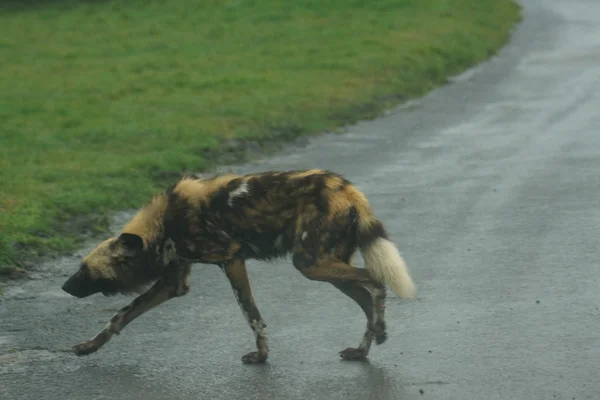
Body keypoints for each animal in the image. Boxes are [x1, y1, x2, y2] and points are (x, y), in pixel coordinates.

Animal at [62, 169, 418, 362]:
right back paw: (364, 348)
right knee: (367, 298)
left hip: (311, 264)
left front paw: (260, 357)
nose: (64, 286)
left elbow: (252, 315)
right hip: (328, 268)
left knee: (376, 282)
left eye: (85, 270)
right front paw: (89, 347)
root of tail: (347, 188)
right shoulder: (173, 282)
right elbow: (120, 316)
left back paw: (378, 333)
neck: (163, 224)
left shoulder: (230, 259)